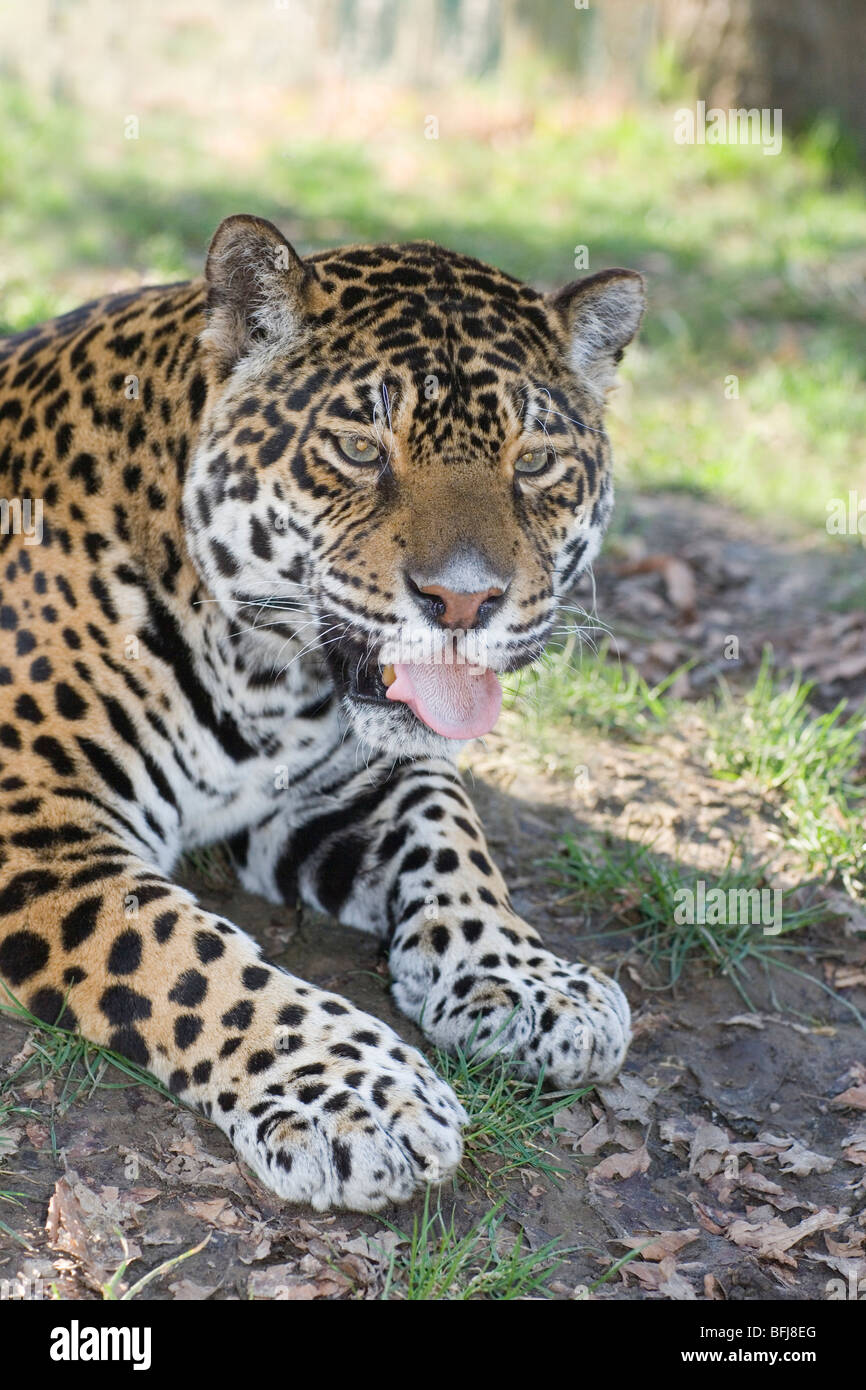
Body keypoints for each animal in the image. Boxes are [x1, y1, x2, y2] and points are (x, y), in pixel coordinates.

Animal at [0, 215, 644, 1211]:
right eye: (360, 449)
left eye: (535, 464)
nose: (464, 602)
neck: (263, 677)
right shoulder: (41, 833)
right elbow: (192, 957)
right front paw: (360, 1099)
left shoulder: (324, 795)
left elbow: (453, 829)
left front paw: (527, 980)